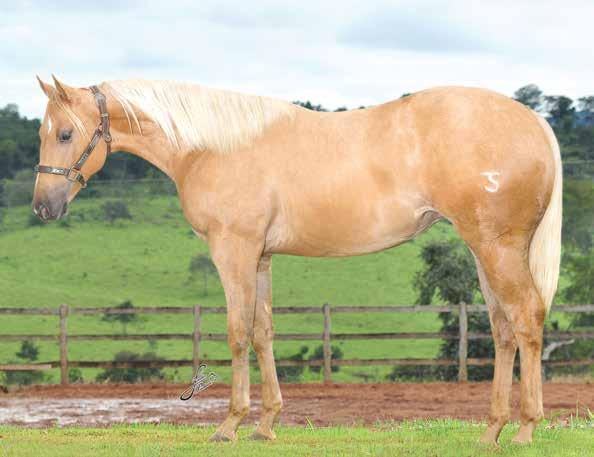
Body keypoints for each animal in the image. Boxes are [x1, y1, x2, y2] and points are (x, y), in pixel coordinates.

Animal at [32, 76, 560, 444]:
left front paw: (229, 425)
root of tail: (535, 123)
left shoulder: (234, 250)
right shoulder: (261, 257)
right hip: (484, 251)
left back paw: (526, 428)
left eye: (65, 134)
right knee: (503, 328)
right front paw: (266, 425)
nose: (43, 207)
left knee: (527, 317)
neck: (212, 148)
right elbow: (263, 331)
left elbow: (237, 332)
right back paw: (491, 430)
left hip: (497, 248)